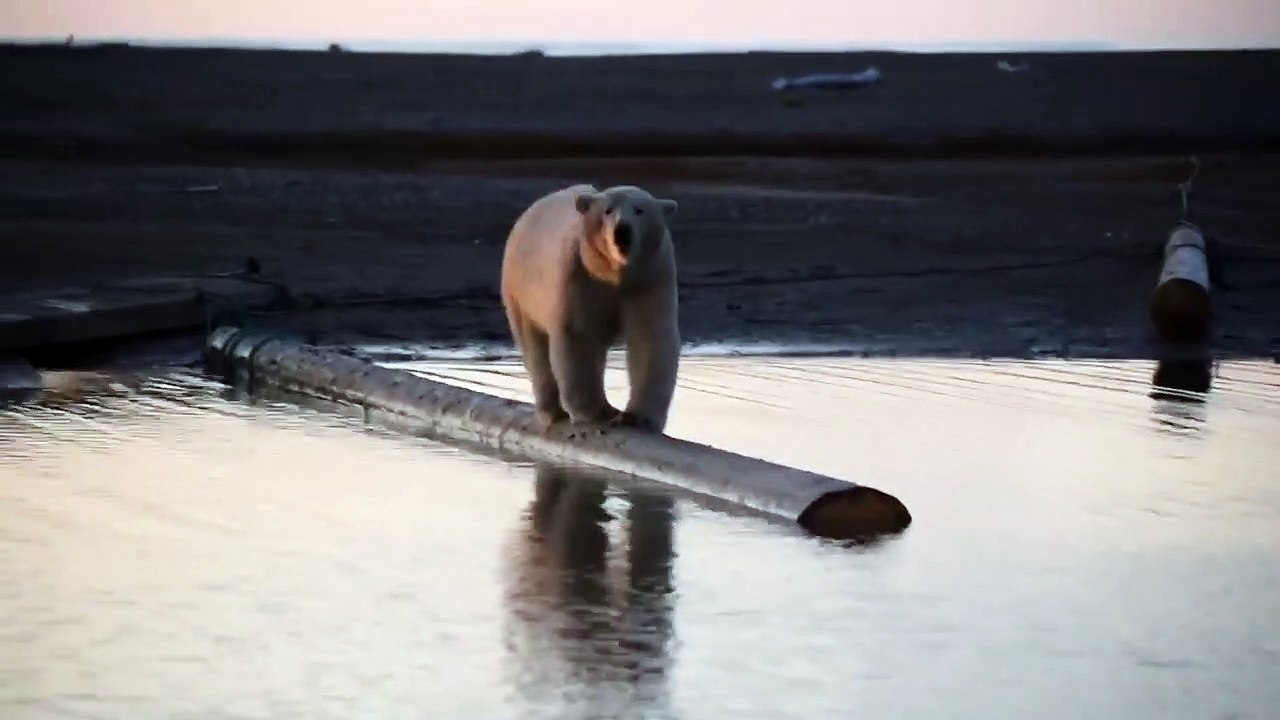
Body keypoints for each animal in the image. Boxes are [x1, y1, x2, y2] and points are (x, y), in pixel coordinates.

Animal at [500, 183, 681, 434]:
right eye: (607, 211)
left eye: (639, 210)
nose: (622, 230)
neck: (614, 273)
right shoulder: (579, 273)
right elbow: (577, 334)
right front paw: (593, 413)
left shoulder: (649, 277)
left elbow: (650, 337)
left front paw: (638, 418)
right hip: (521, 291)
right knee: (534, 347)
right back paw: (553, 411)